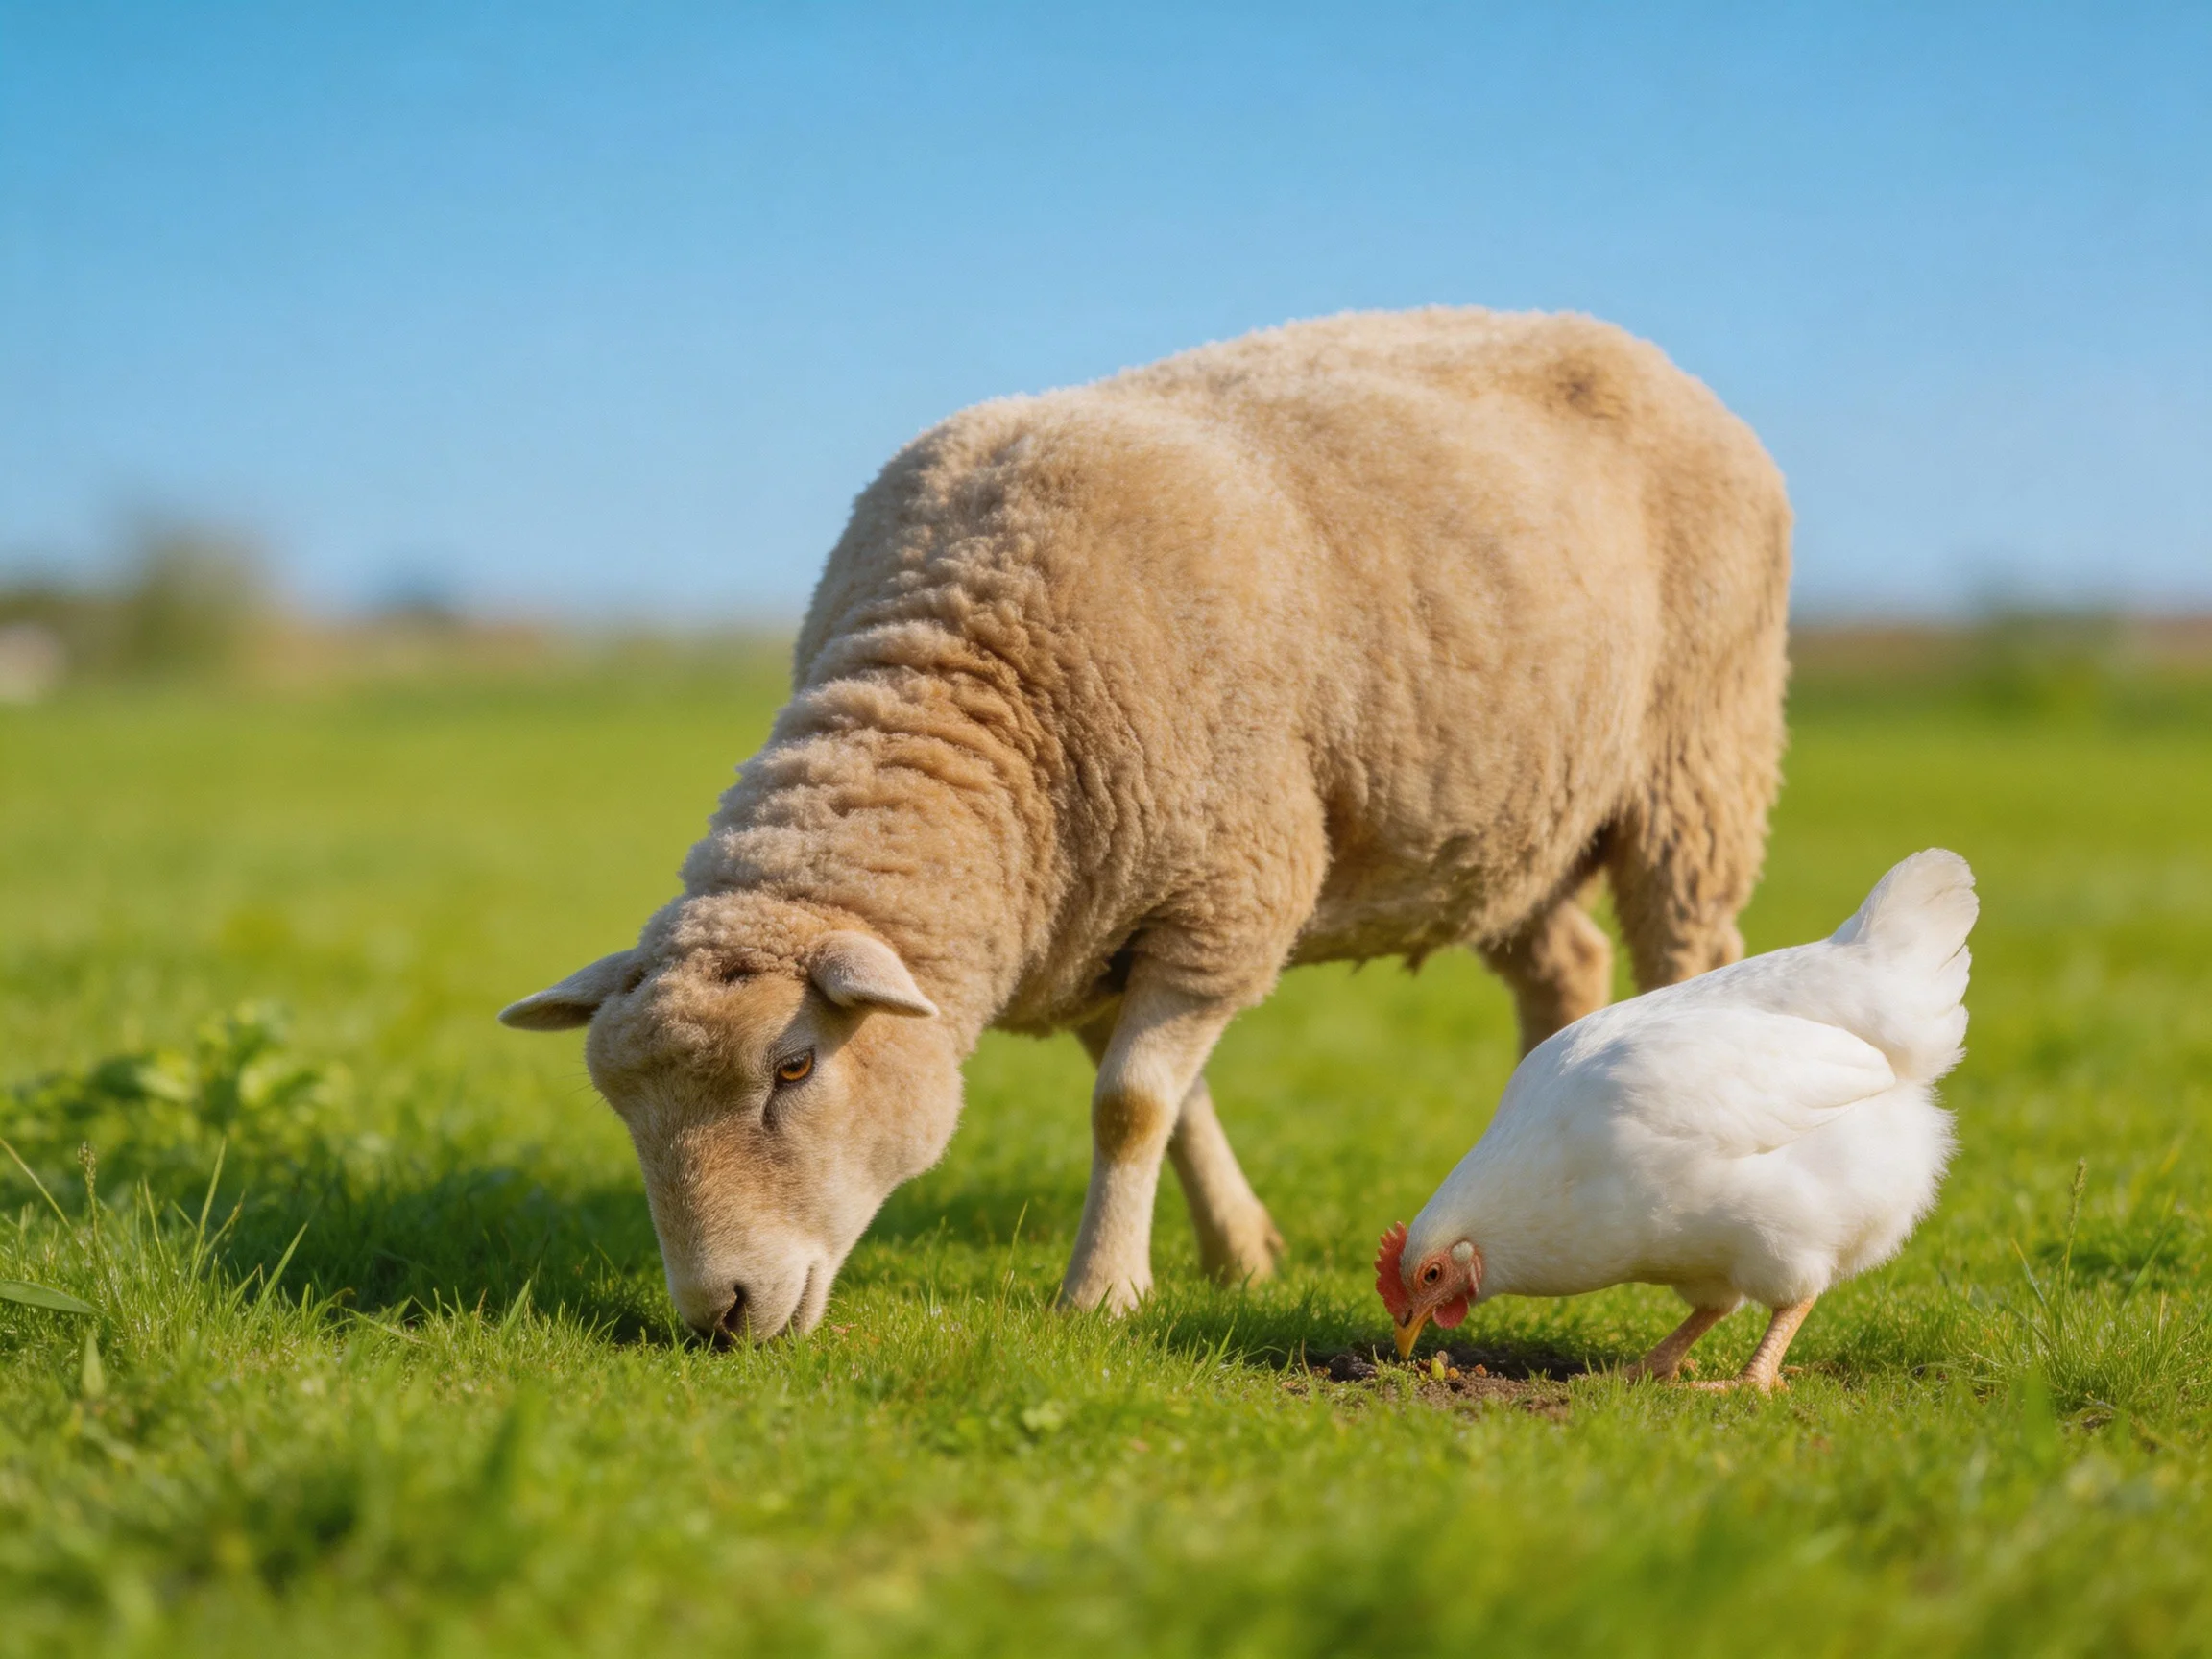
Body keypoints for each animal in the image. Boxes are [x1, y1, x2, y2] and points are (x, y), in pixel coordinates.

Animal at [500, 306, 1792, 1339]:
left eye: (795, 1066)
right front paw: (1237, 1254)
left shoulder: (1224, 893)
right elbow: (1174, 1106)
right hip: (1513, 823)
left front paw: (1102, 1295)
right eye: (622, 1107)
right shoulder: (1091, 926)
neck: (970, 673)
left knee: (1689, 953)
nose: (715, 1314)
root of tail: (1642, 353)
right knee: (1565, 965)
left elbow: (1130, 1108)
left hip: (1699, 760)